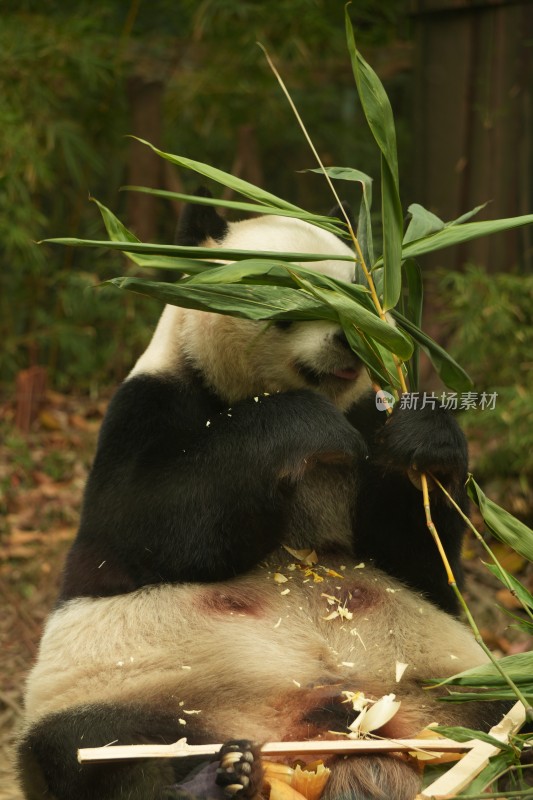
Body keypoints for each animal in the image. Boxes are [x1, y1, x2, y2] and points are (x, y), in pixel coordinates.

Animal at [15, 195, 498, 800]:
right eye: (289, 295)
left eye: (358, 296)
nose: (350, 339)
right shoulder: (151, 404)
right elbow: (141, 521)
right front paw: (302, 424)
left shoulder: (367, 418)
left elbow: (420, 558)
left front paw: (424, 440)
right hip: (136, 682)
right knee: (94, 748)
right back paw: (221, 777)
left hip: (453, 681)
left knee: (500, 709)